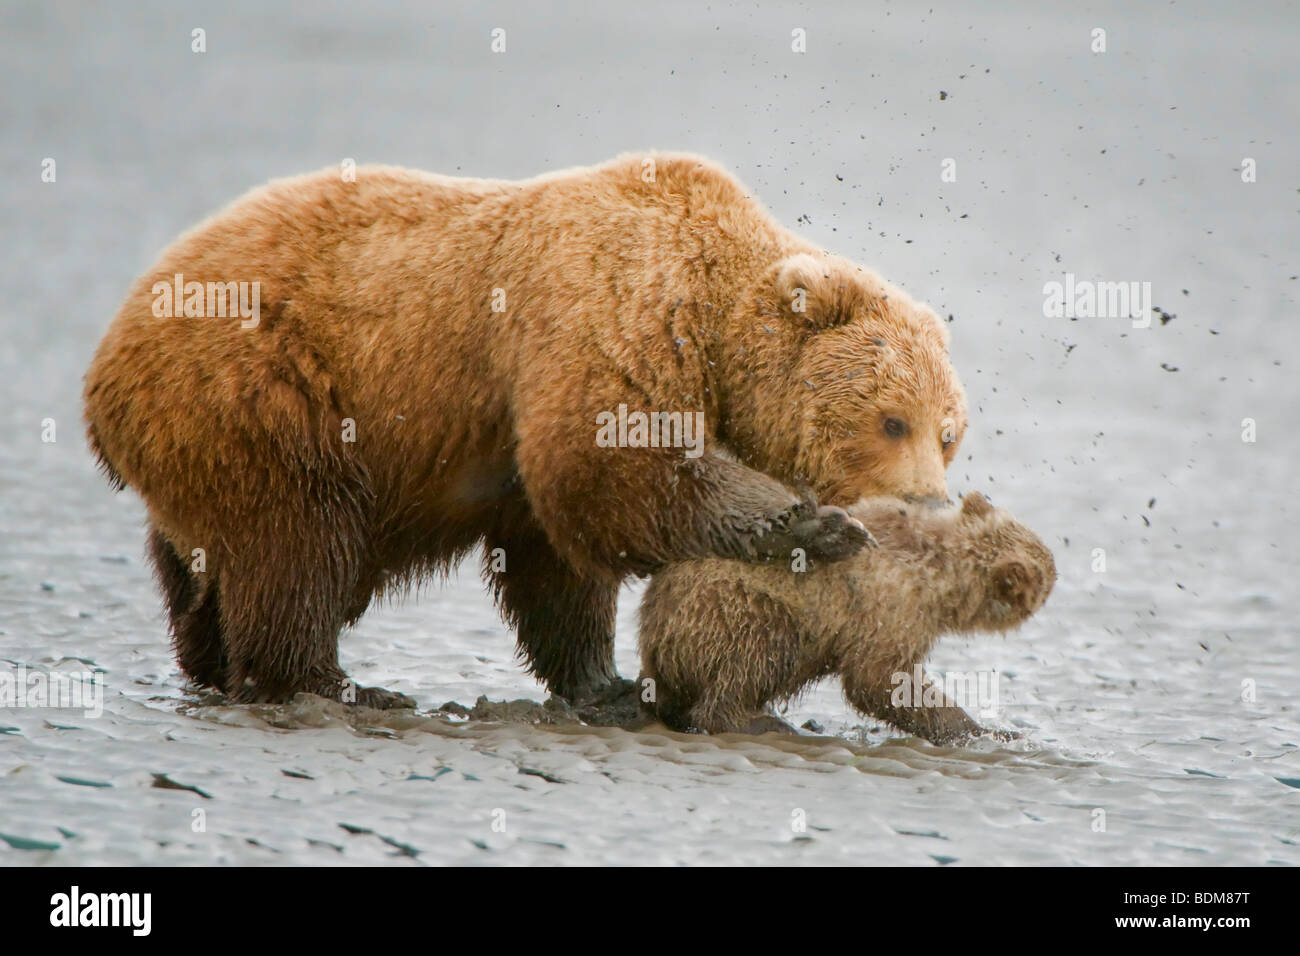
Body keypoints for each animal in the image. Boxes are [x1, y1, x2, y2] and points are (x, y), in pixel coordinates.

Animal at [82, 152, 966, 709]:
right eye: (893, 419)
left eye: (950, 432)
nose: (930, 506)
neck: (712, 324)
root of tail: (105, 364)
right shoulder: (611, 317)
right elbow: (610, 469)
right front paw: (811, 524)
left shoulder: (519, 437)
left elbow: (554, 558)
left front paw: (605, 683)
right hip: (267, 388)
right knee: (297, 541)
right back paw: (331, 681)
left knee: (208, 561)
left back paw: (212, 652)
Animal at [637, 492, 1055, 743]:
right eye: (1048, 581)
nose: (1057, 571)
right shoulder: (892, 606)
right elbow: (880, 679)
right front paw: (982, 730)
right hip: (729, 610)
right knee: (756, 656)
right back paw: (767, 722)